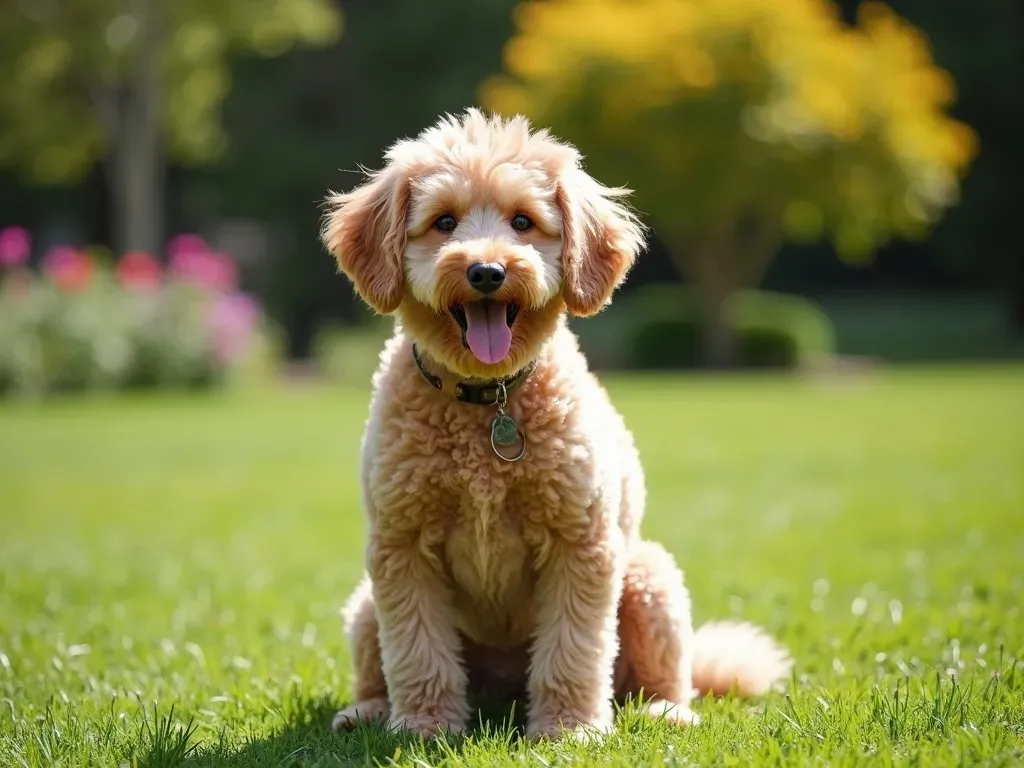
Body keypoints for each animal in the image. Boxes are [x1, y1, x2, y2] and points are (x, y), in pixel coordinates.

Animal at [319, 111, 790, 741]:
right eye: (444, 222)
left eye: (523, 221)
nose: (486, 270)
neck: (487, 401)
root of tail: (500, 688)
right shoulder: (402, 544)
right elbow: (418, 652)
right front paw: (423, 724)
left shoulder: (580, 542)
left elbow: (575, 649)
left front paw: (569, 728)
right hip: (367, 604)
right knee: (381, 665)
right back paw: (367, 711)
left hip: (650, 579)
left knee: (669, 678)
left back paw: (665, 710)